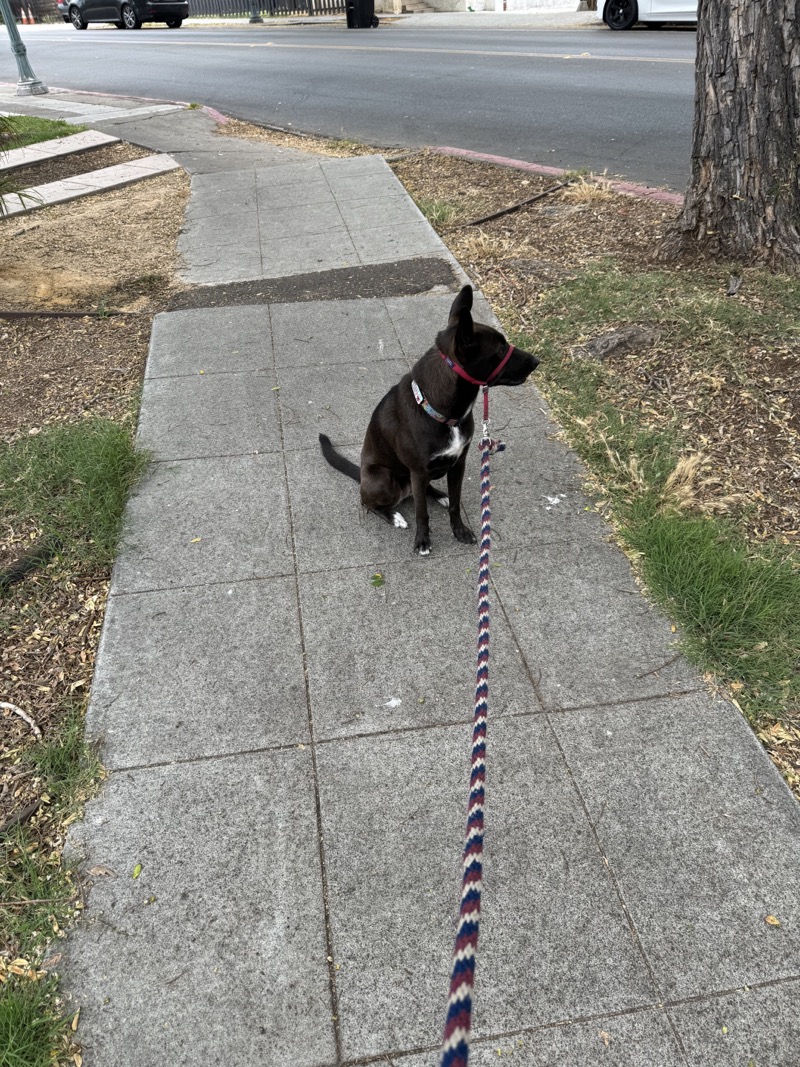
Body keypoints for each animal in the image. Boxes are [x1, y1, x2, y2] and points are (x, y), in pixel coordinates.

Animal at [320, 283, 539, 559]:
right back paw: (394, 516)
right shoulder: (418, 470)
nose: (536, 361)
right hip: (383, 479)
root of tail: (361, 475)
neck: (443, 411)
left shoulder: (458, 464)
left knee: (422, 491)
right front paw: (422, 541)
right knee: (370, 503)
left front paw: (459, 530)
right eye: (499, 351)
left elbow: (455, 504)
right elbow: (421, 513)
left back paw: (438, 494)